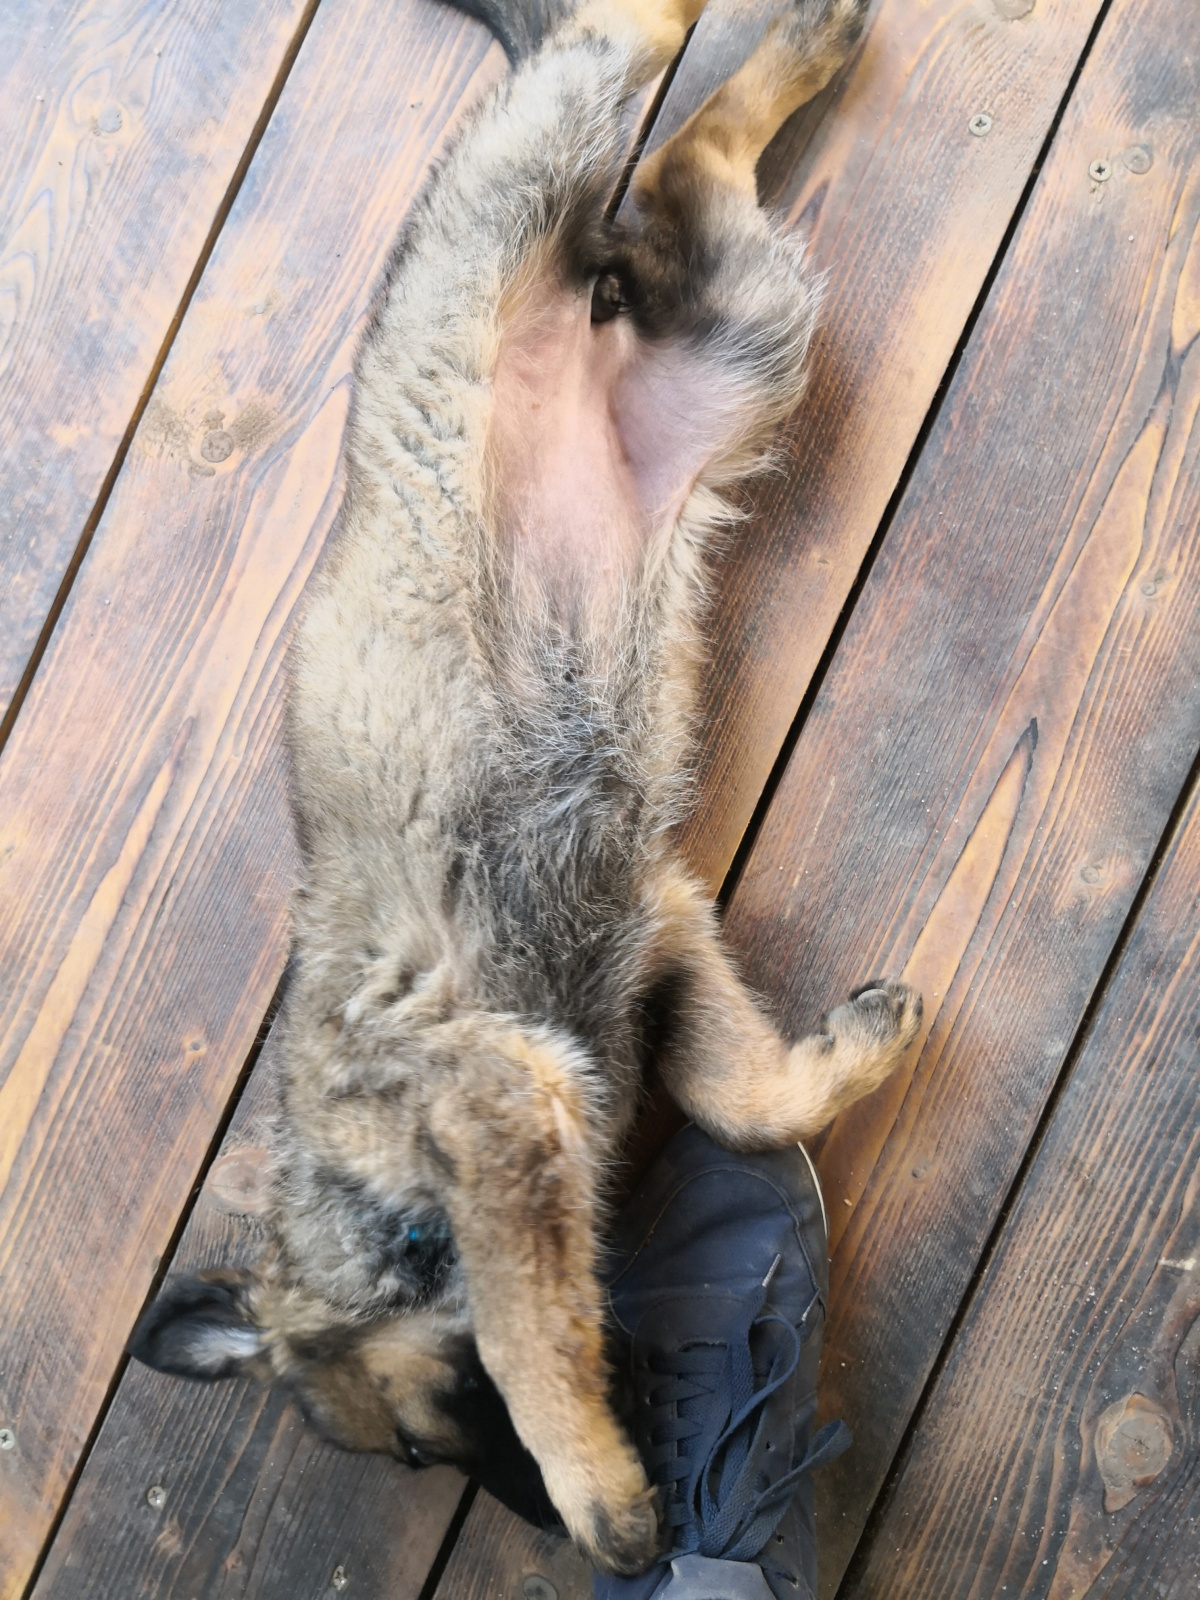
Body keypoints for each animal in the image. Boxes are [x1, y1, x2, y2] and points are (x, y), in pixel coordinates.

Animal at [130, 0, 920, 1573]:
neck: (387, 1207)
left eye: (423, 1437)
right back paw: (800, 49)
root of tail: (584, 328)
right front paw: (838, 1063)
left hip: (520, 197)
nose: (562, 1539)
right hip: (750, 338)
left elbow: (526, 1327)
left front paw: (593, 1481)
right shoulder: (659, 924)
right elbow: (739, 1097)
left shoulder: (498, 1102)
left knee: (612, 48)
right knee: (682, 171)